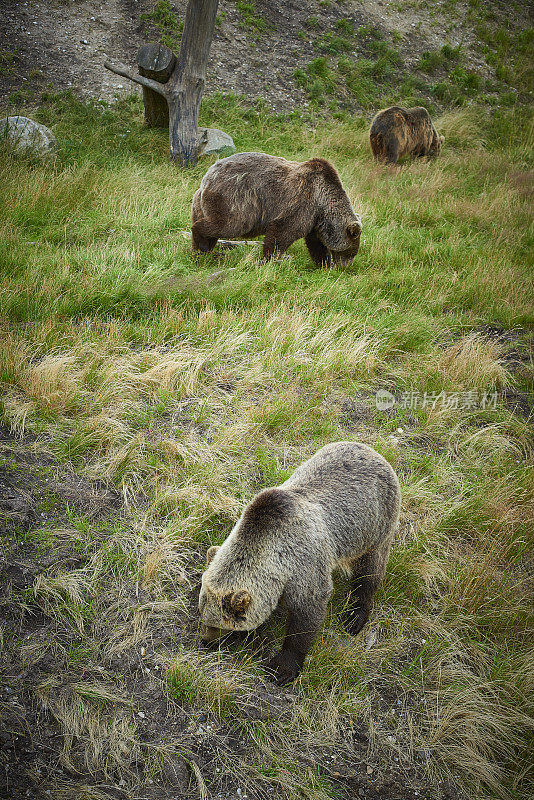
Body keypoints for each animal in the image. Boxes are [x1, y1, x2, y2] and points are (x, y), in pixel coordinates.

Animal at [192, 153, 364, 268]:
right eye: (351, 252)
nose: (344, 267)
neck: (323, 204)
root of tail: (208, 176)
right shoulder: (303, 202)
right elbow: (283, 231)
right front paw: (269, 259)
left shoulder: (315, 220)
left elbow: (316, 243)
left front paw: (324, 264)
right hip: (235, 200)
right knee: (227, 225)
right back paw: (202, 246)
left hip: (200, 202)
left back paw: (203, 251)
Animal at [200, 440, 402, 684]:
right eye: (203, 614)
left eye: (217, 624)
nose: (206, 640)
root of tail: (374, 452)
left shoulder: (304, 563)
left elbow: (307, 613)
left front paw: (281, 668)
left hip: (374, 526)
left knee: (370, 570)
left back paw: (355, 616)